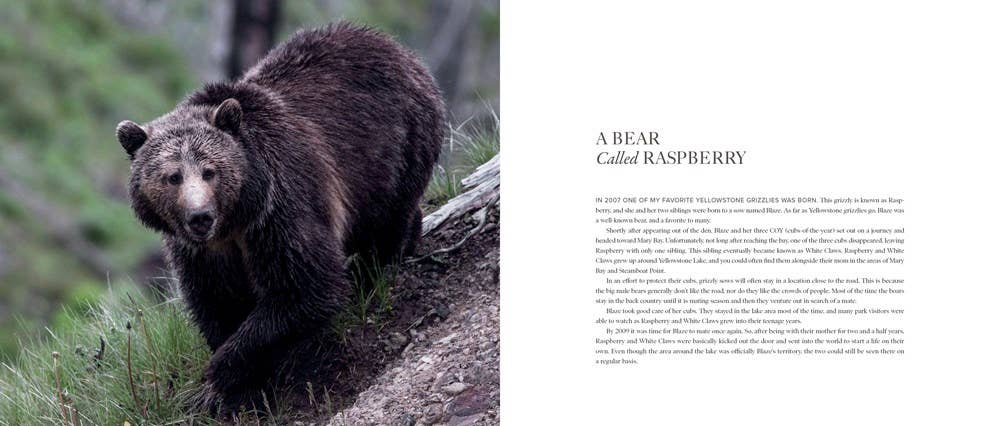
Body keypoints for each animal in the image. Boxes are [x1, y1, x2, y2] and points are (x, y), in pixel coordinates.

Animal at [115, 23, 444, 411]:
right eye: (173, 176)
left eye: (210, 171)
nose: (200, 217)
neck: (236, 219)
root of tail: (398, 49)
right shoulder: (201, 252)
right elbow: (215, 299)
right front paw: (235, 383)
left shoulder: (279, 209)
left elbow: (303, 287)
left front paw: (223, 368)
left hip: (396, 146)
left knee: (387, 220)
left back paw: (380, 264)